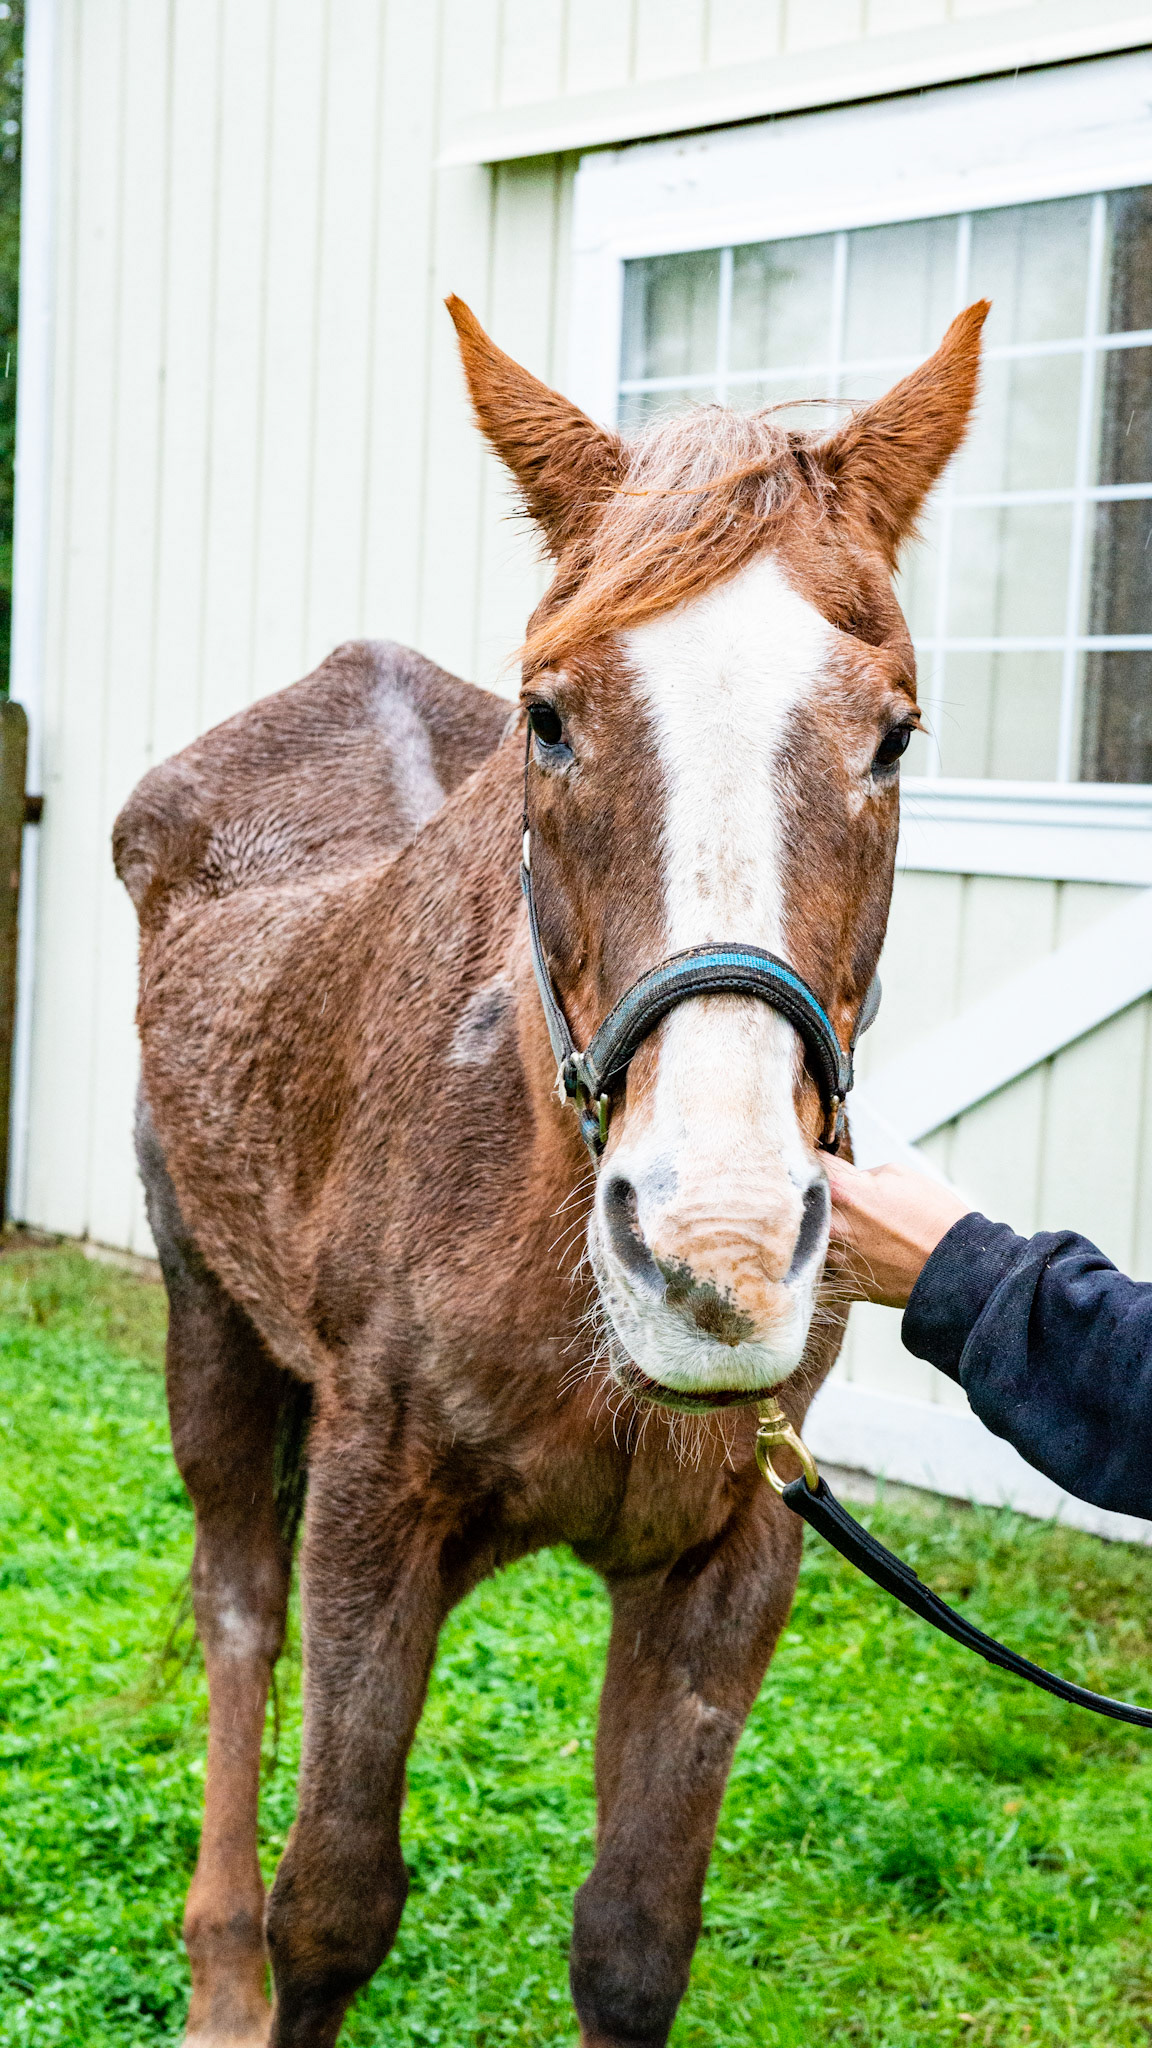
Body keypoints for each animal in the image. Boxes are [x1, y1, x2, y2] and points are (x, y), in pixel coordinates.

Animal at [114, 292, 986, 2048]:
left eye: (894, 733)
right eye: (552, 717)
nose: (717, 1255)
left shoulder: (732, 1556)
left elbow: (635, 1940)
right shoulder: (374, 1503)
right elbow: (335, 1905)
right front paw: (271, 1963)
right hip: (211, 1326)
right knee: (239, 1614)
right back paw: (215, 1969)